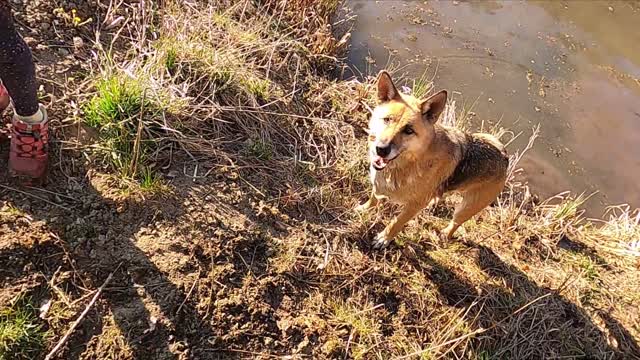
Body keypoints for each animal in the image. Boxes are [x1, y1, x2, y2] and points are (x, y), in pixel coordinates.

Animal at [358, 70, 508, 248]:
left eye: (408, 130)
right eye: (387, 119)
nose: (381, 149)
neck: (411, 162)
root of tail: (504, 154)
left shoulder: (414, 205)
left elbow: (396, 222)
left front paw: (384, 238)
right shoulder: (379, 185)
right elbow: (374, 198)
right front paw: (364, 209)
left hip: (466, 207)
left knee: (455, 222)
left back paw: (444, 234)